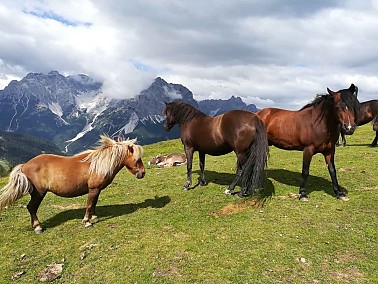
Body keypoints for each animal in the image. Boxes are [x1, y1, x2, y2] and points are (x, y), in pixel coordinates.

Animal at [0, 136, 145, 234]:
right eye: (137, 159)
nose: (142, 173)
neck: (98, 165)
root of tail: (25, 165)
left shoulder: (96, 190)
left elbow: (94, 203)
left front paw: (94, 217)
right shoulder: (93, 189)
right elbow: (89, 205)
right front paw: (87, 222)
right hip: (38, 193)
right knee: (31, 208)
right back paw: (38, 227)